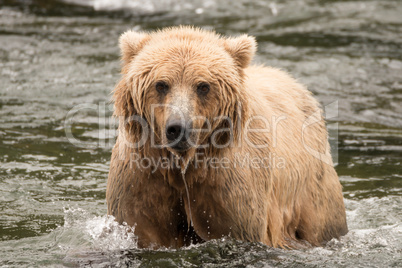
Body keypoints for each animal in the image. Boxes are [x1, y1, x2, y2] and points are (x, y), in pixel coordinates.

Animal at [107, 26, 348, 248]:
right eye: (161, 84)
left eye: (203, 86)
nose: (179, 128)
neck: (185, 166)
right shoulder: (143, 175)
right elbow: (143, 225)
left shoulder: (229, 184)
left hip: (313, 188)